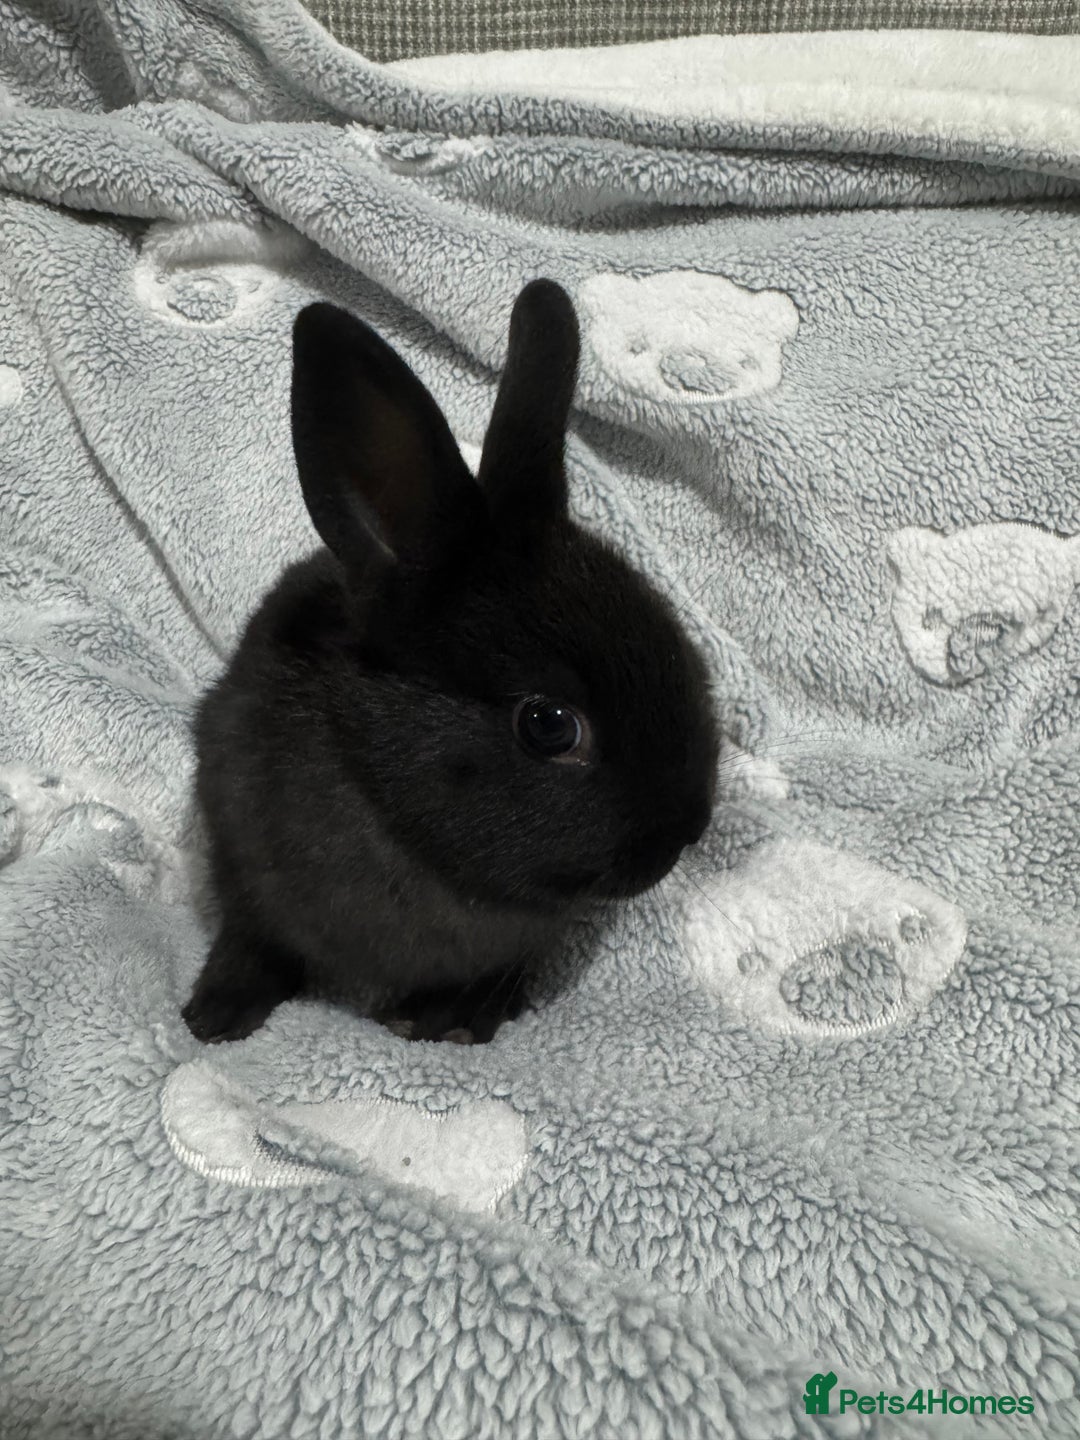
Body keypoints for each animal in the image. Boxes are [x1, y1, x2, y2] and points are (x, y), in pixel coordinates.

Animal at [182, 279, 719, 1046]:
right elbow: (252, 939)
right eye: (549, 725)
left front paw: (453, 1019)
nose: (683, 832)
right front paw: (215, 1018)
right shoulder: (241, 861)